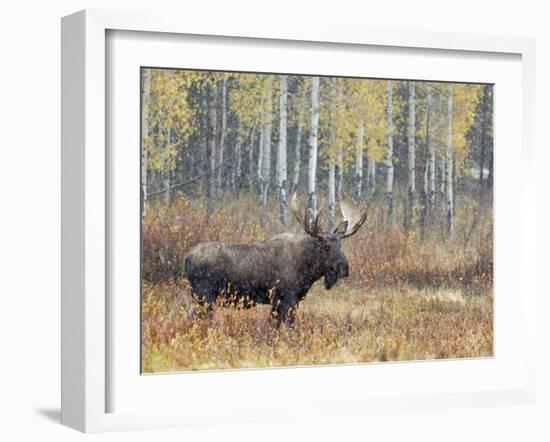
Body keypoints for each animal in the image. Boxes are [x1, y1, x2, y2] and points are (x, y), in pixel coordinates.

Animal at [183, 196, 368, 324]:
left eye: (341, 245)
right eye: (326, 247)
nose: (345, 267)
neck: (309, 271)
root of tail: (186, 258)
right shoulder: (286, 297)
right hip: (203, 295)